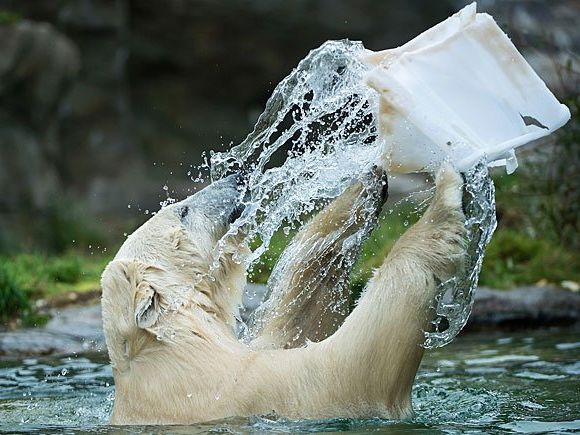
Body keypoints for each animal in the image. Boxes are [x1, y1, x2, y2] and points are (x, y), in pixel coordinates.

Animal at [99, 164, 466, 426]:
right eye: (183, 210)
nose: (237, 176)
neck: (179, 351)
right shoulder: (239, 389)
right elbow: (354, 364)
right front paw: (446, 191)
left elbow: (291, 325)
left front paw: (364, 188)